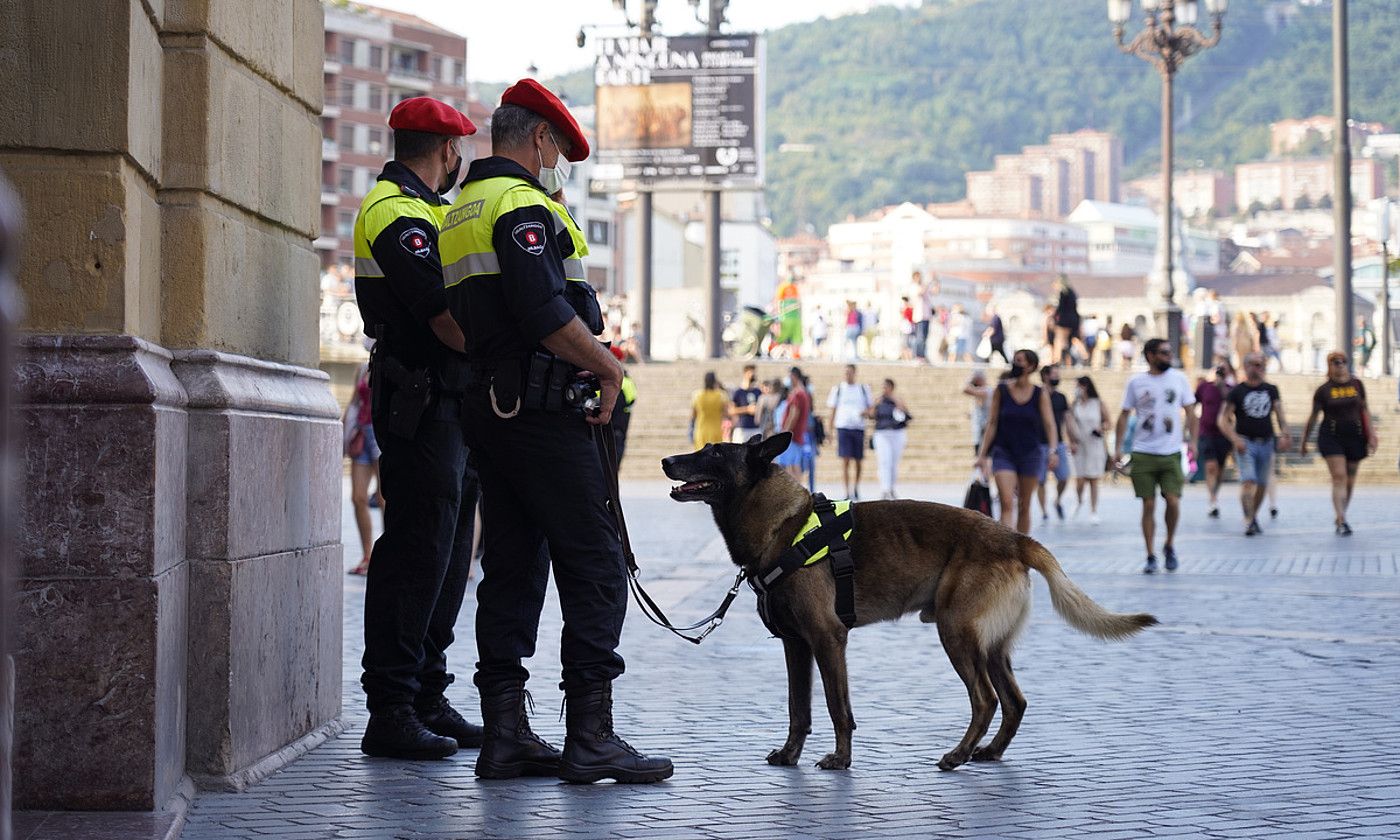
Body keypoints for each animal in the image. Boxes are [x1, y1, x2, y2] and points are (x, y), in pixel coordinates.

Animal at [660, 436, 1153, 772]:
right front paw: (790, 754)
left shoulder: (827, 640)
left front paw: (841, 759)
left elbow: (838, 708)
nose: (666, 460)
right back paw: (989, 752)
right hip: (991, 647)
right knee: (1015, 702)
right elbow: (798, 709)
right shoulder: (796, 647)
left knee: (986, 701)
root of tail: (1014, 537)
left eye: (713, 453)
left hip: (957, 634)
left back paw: (958, 754)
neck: (787, 526)